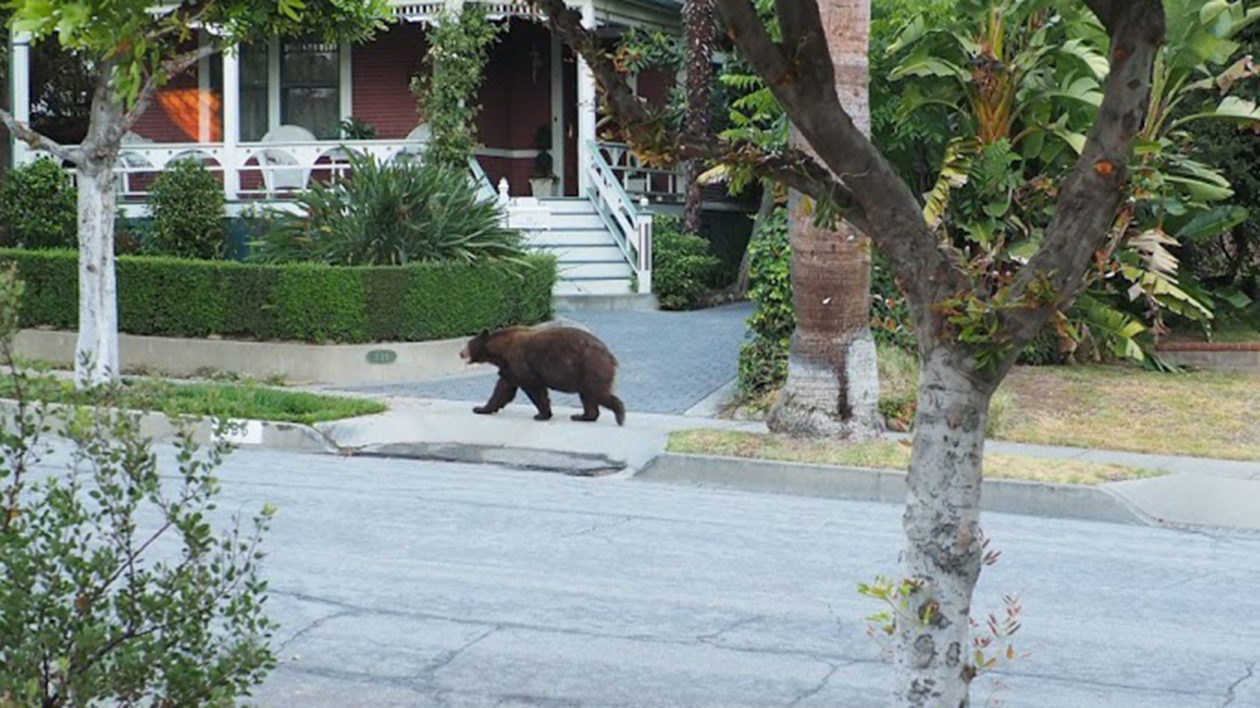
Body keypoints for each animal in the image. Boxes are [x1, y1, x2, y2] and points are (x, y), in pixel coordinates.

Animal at [458, 325, 624, 423]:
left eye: (469, 343)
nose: (460, 353)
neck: (501, 351)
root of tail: (610, 356)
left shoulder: (520, 362)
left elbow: (534, 387)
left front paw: (542, 414)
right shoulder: (509, 369)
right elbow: (502, 390)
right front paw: (481, 408)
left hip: (591, 368)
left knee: (595, 392)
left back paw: (619, 414)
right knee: (589, 396)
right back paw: (583, 416)